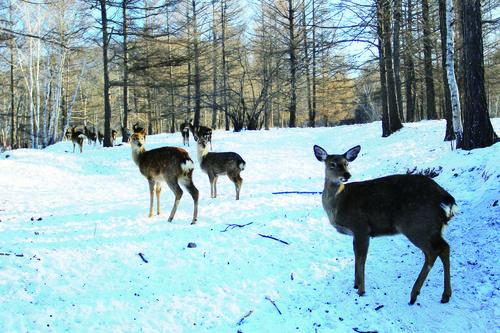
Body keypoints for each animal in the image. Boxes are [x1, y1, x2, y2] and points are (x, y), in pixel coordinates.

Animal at [314, 145, 458, 304]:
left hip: (417, 225)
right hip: (432, 227)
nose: (347, 175)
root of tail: (445, 197)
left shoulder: (361, 226)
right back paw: (445, 295)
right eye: (332, 164)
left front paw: (361, 290)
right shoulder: (356, 233)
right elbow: (356, 256)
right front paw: (355, 284)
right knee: (445, 247)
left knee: (433, 251)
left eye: (346, 163)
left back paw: (414, 294)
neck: (339, 203)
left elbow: (362, 259)